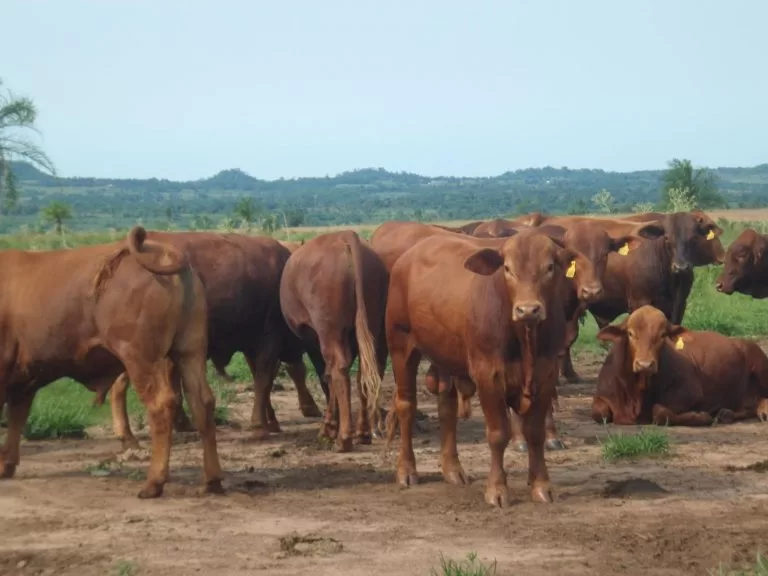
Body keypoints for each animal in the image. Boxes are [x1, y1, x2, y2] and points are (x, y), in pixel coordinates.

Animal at [0, 227, 223, 498]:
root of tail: (162, 252)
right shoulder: (24, 377)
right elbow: (16, 418)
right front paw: (6, 464)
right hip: (190, 352)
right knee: (203, 403)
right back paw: (212, 480)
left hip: (140, 357)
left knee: (161, 407)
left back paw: (153, 483)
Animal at [97, 232, 323, 451]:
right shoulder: (269, 338)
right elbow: (264, 379)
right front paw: (260, 426)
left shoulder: (254, 343)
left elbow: (264, 378)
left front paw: (271, 421)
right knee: (121, 386)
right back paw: (130, 435)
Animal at [280, 230, 388, 452]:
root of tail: (345, 236)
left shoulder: (313, 340)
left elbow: (325, 376)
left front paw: (329, 428)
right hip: (370, 321)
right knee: (363, 372)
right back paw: (363, 433)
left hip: (328, 329)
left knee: (338, 368)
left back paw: (343, 438)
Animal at [384, 229, 602, 507]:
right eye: (507, 268)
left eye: (550, 267)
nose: (528, 310)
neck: (525, 340)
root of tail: (410, 254)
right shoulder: (488, 376)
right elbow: (498, 434)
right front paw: (497, 490)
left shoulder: (547, 375)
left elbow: (535, 434)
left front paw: (541, 486)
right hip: (401, 346)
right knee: (406, 406)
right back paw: (406, 470)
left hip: (444, 355)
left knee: (447, 409)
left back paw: (452, 469)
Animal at [592, 305, 768, 426]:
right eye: (630, 333)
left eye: (663, 335)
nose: (645, 364)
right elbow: (600, 413)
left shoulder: (691, 392)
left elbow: (659, 411)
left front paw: (700, 416)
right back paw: (727, 414)